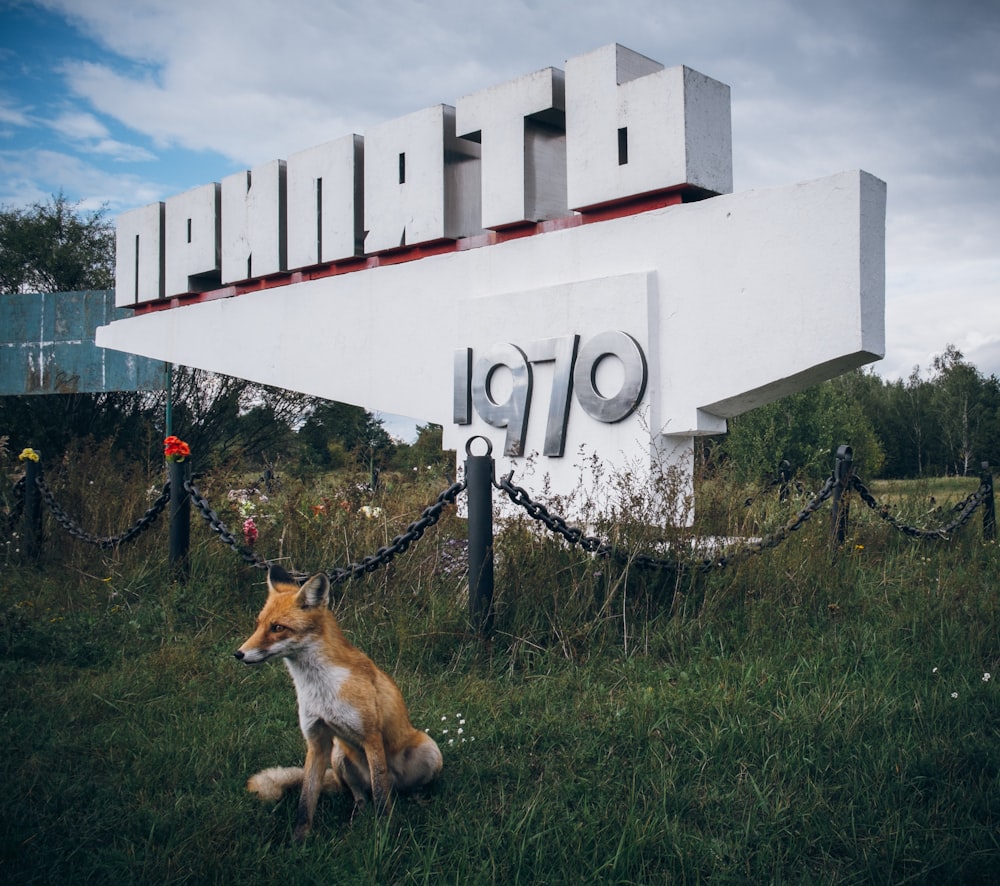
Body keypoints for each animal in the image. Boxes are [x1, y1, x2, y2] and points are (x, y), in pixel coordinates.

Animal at [234, 564, 442, 844]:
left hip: (429, 749)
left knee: (398, 790)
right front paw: (298, 841)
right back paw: (356, 816)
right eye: (259, 625)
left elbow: (381, 795)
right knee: (360, 795)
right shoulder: (317, 741)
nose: (239, 654)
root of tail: (398, 787)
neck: (320, 689)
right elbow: (306, 800)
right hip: (339, 754)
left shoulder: (371, 736)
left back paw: (417, 799)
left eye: (278, 627)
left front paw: (384, 834)